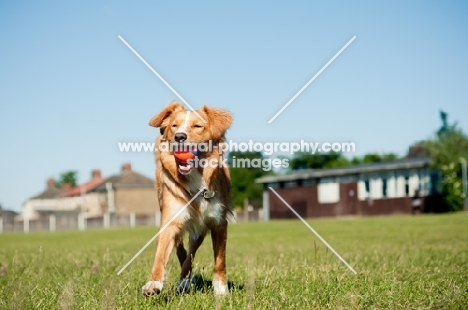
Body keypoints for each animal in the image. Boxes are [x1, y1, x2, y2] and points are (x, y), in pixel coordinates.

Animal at [141, 101, 232, 296]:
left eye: (197, 126)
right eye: (174, 126)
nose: (179, 136)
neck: (196, 176)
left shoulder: (218, 222)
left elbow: (220, 260)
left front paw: (221, 290)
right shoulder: (171, 221)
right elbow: (161, 255)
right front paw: (153, 283)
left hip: (200, 231)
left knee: (190, 254)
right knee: (182, 252)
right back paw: (183, 281)